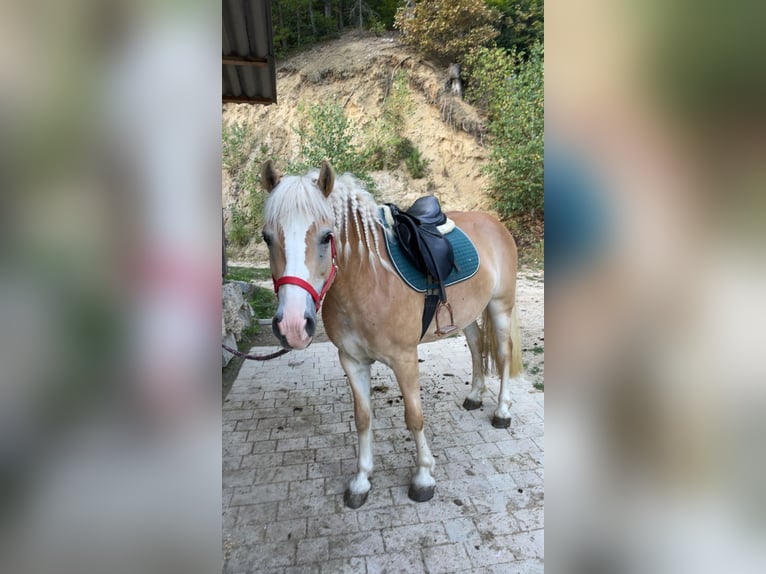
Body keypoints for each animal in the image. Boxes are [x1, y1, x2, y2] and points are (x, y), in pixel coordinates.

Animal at [260, 161, 524, 508]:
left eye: (327, 236)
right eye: (266, 238)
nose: (292, 325)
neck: (369, 278)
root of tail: (495, 223)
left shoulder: (405, 359)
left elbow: (414, 416)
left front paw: (423, 477)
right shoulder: (352, 361)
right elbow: (362, 418)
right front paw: (361, 481)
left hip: (500, 306)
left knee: (504, 353)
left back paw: (502, 411)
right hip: (468, 313)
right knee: (476, 344)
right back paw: (475, 396)